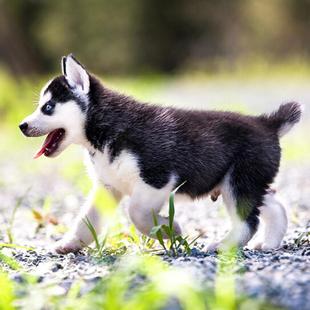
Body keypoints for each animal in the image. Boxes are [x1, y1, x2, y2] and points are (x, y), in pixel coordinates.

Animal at [18, 54, 300, 253]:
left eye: (48, 107)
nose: (22, 126)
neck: (102, 131)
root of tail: (266, 123)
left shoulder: (157, 179)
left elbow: (136, 213)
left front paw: (168, 229)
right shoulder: (108, 187)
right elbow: (87, 220)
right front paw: (69, 244)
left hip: (238, 182)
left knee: (248, 221)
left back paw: (224, 245)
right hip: (248, 183)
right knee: (274, 205)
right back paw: (269, 243)